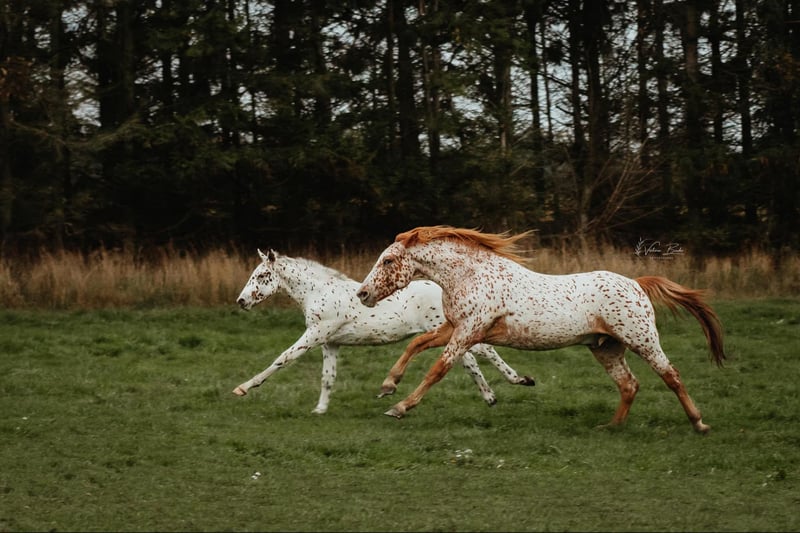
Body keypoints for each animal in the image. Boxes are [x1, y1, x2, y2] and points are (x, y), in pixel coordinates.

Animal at [234, 249, 535, 414]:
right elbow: (328, 378)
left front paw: (243, 388)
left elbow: (282, 359)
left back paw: (517, 381)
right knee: (473, 359)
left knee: (482, 352)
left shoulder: (315, 334)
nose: (242, 301)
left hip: (450, 329)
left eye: (263, 276)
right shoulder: (330, 343)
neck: (317, 293)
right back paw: (494, 395)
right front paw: (320, 409)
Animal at [356, 226, 727, 433]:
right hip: (605, 347)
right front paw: (388, 385)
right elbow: (416, 344)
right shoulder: (455, 328)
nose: (362, 294)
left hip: (642, 339)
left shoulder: (468, 331)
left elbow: (437, 369)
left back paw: (700, 424)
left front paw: (400, 407)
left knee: (671, 376)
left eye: (388, 260)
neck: (469, 275)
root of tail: (637, 284)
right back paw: (610, 427)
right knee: (629, 385)